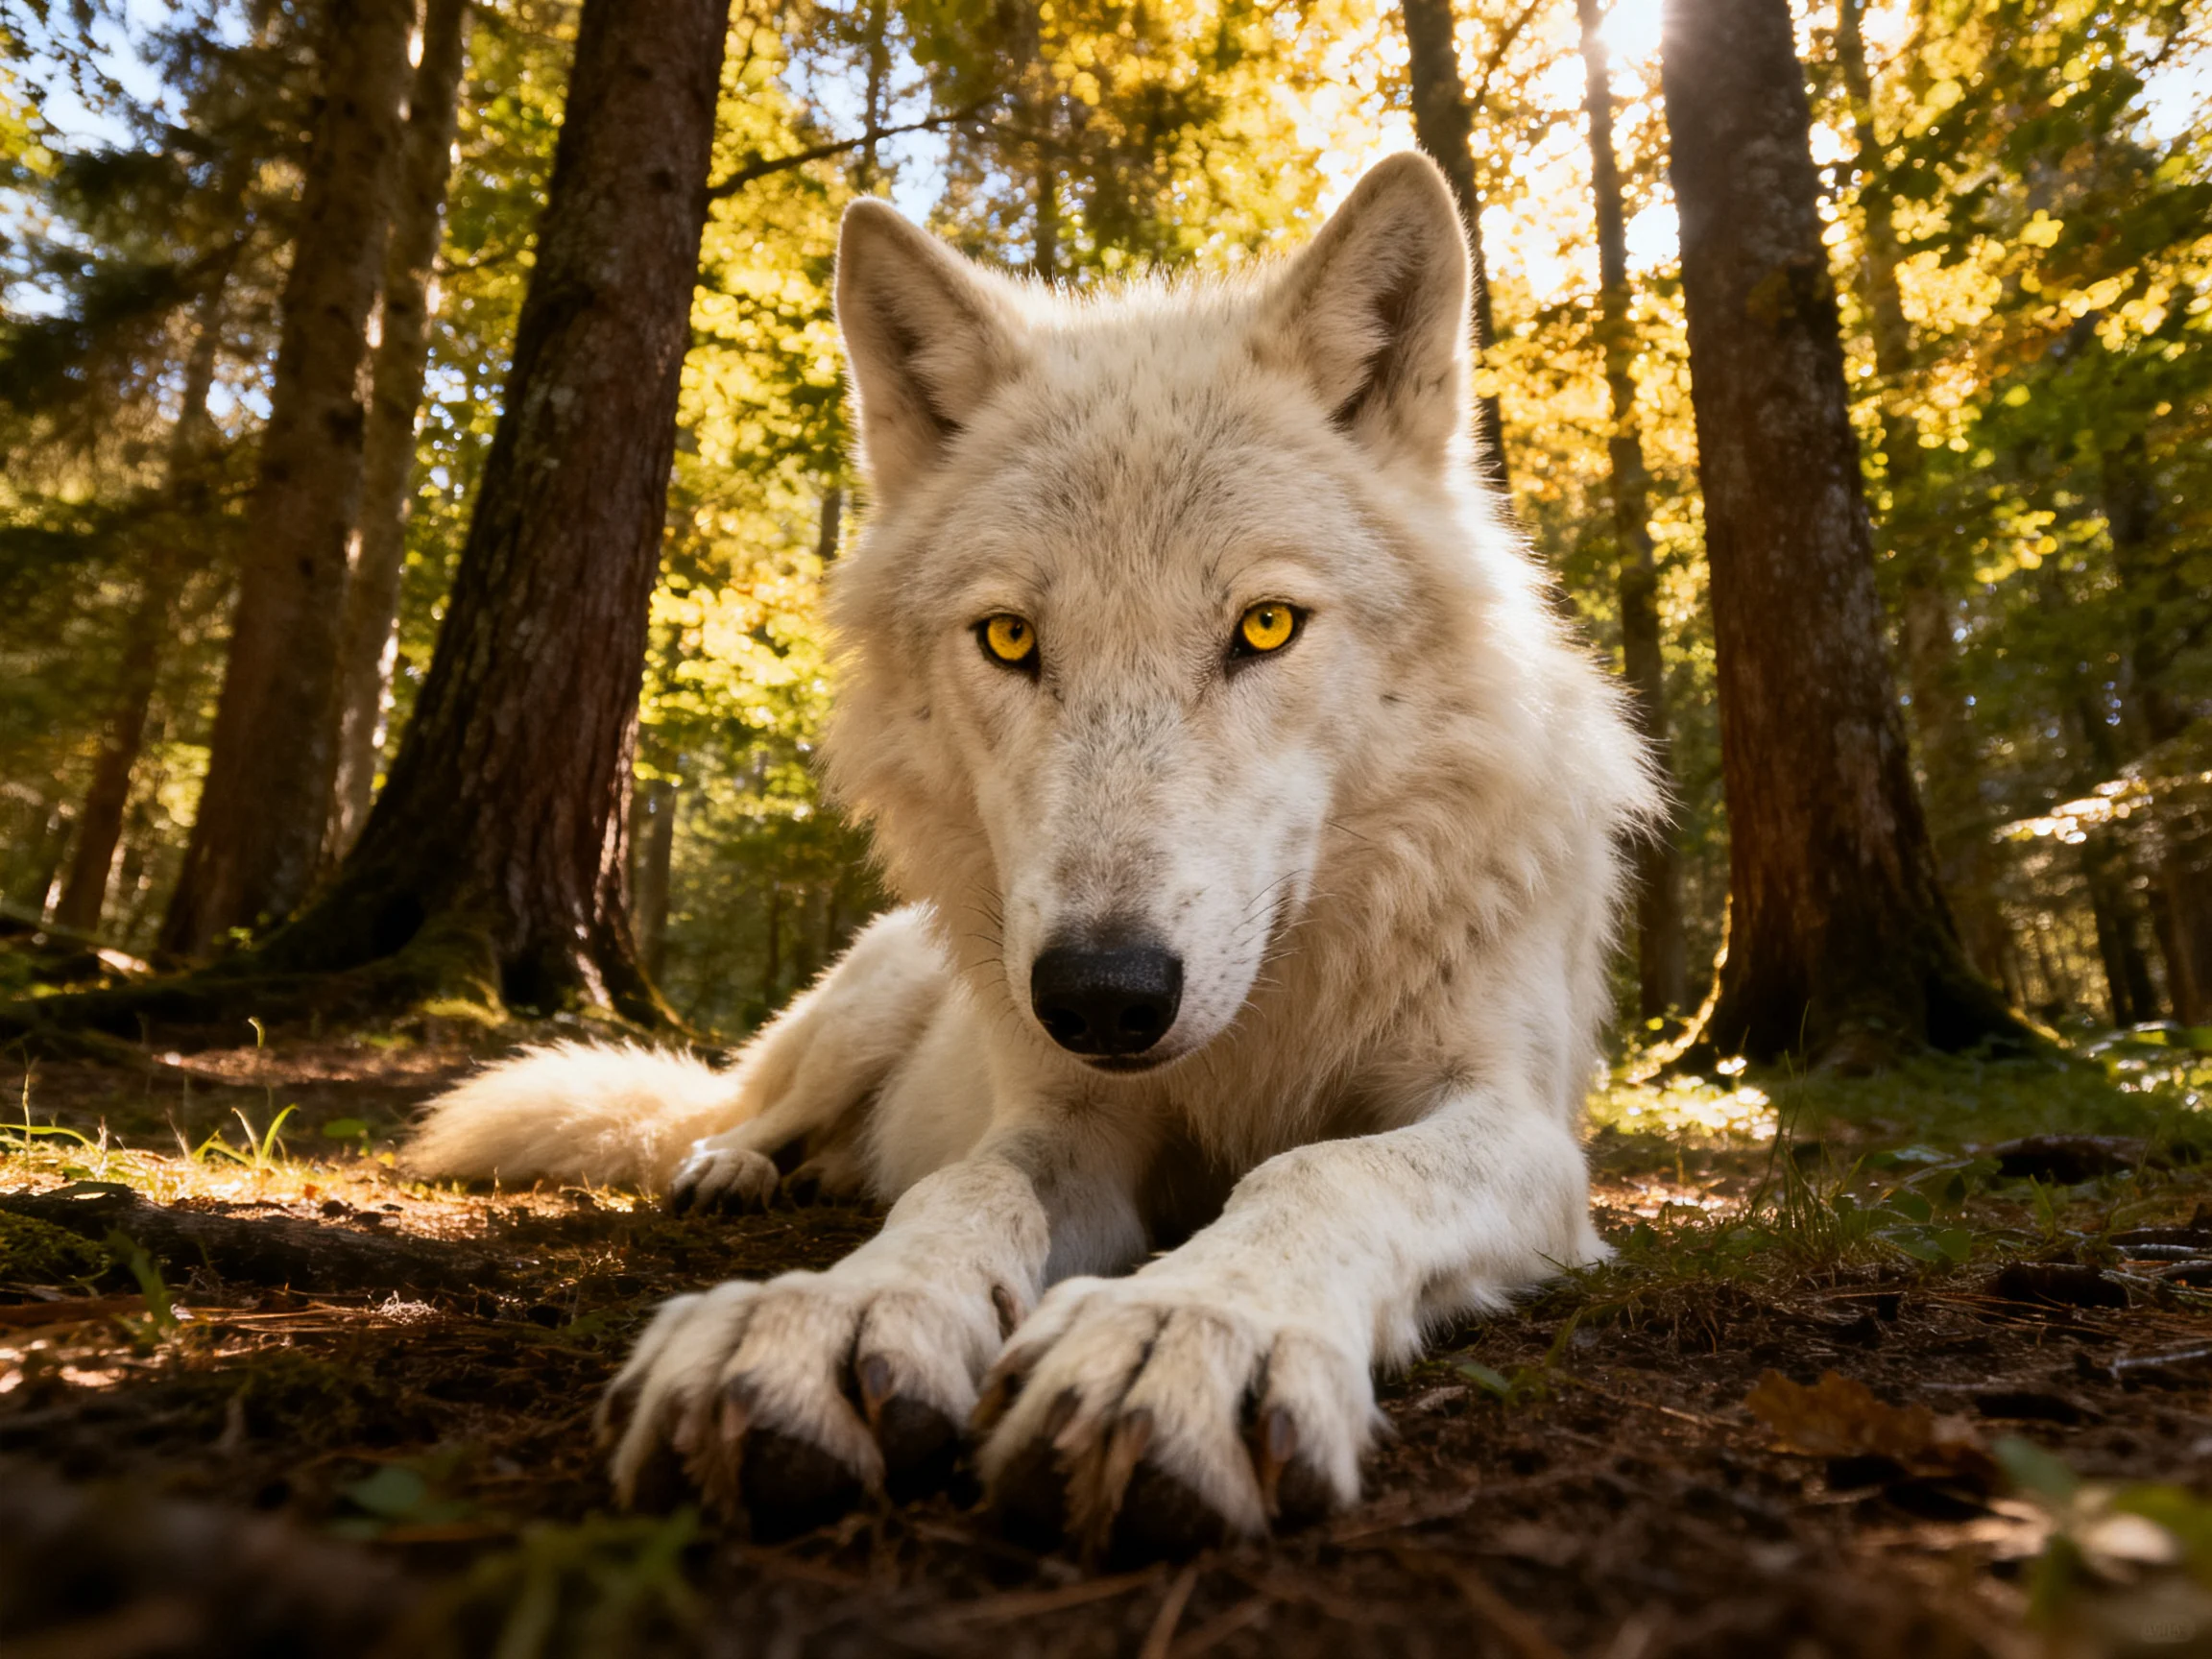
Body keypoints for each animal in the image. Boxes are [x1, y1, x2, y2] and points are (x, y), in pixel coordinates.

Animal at [405, 151, 1655, 1559]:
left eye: (1265, 626)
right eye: (1009, 639)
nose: (1101, 995)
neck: (1260, 1032)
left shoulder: (1521, 1130)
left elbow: (1323, 1172)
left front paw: (1185, 1327)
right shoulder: (1068, 1125)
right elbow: (963, 1194)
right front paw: (832, 1313)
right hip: (873, 1008)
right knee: (751, 1114)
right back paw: (732, 1171)